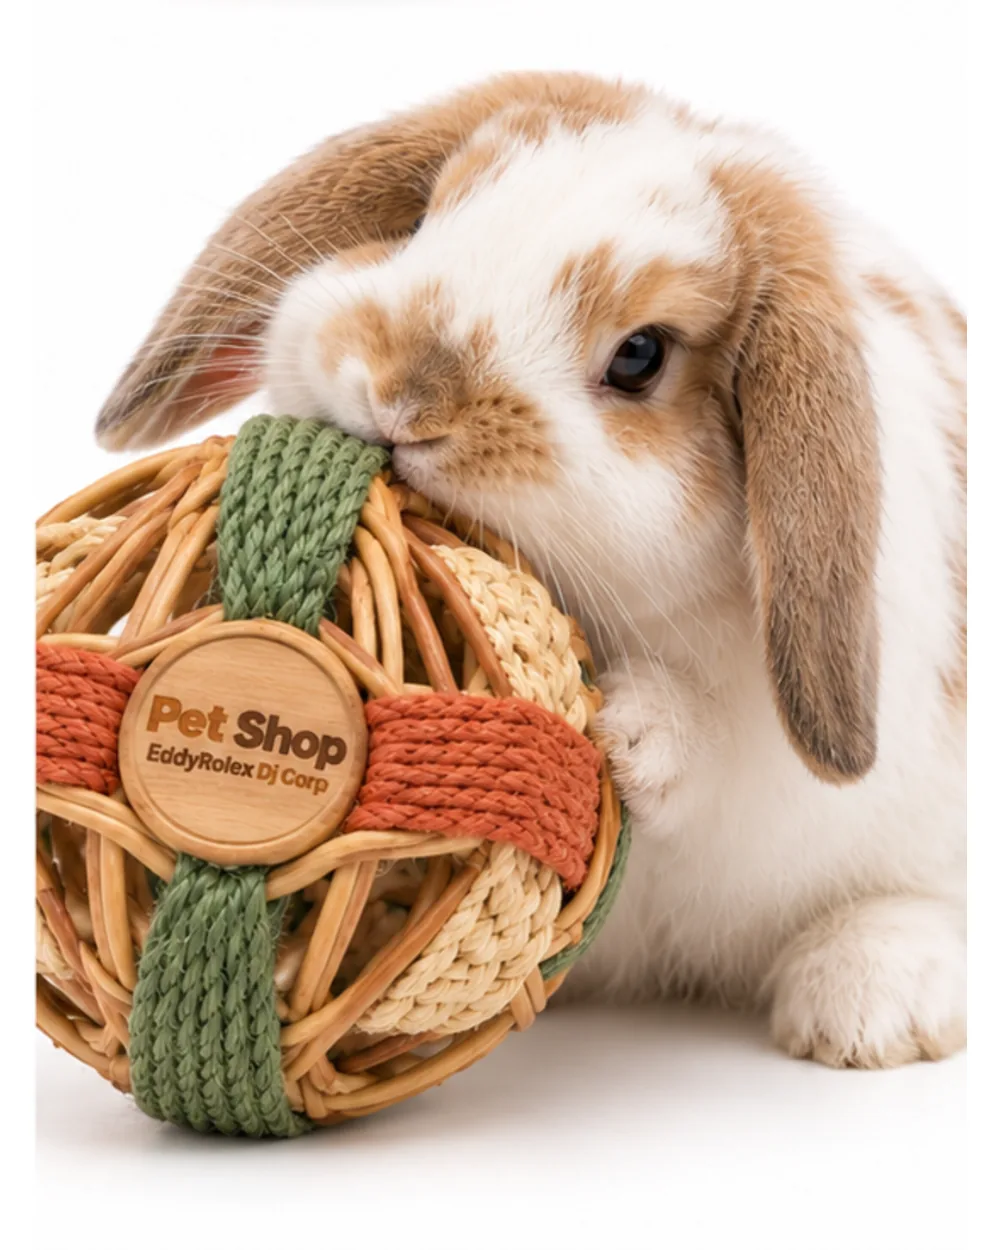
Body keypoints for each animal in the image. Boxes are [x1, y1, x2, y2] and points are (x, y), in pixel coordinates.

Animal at [95, 72, 966, 1068]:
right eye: (426, 217)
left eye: (641, 355)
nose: (402, 399)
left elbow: (712, 742)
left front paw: (630, 736)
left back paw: (864, 1008)